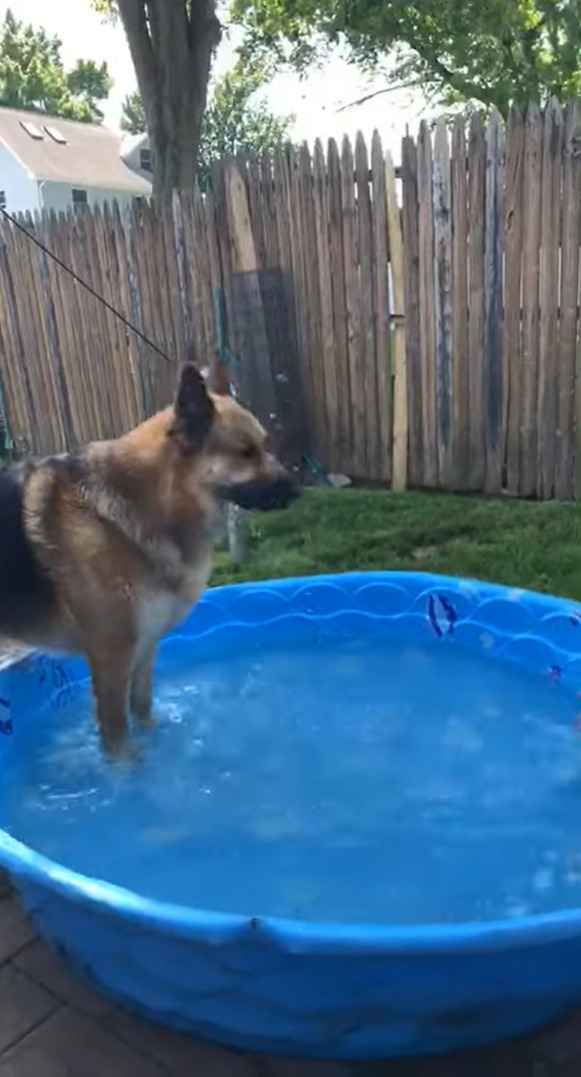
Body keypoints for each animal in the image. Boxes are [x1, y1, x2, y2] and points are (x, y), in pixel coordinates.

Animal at [0, 366, 299, 762]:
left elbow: (142, 711)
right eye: (247, 453)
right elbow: (117, 737)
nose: (298, 491)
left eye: (263, 446)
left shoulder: (144, 649)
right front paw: (130, 775)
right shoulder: (111, 658)